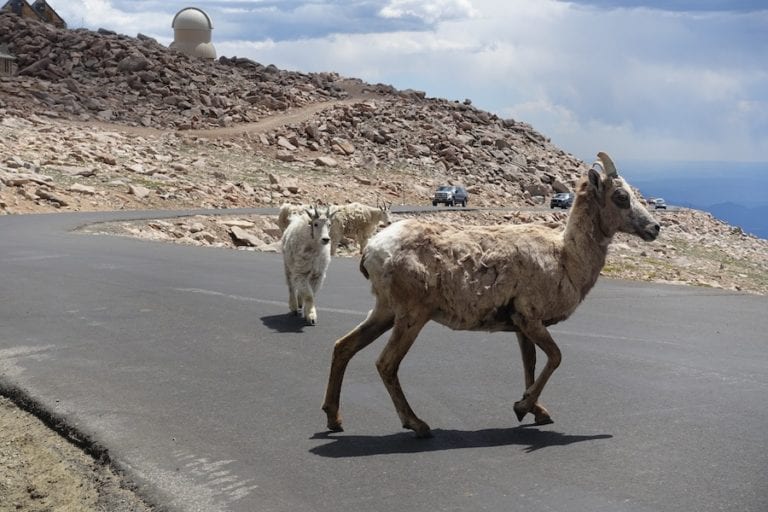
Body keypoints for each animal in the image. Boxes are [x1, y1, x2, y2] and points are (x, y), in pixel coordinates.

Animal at [322, 151, 660, 436]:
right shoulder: (530, 320)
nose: (654, 228)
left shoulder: (522, 327)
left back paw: (334, 419)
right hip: (411, 316)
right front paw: (522, 407)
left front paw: (536, 411)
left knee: (343, 347)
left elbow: (530, 364)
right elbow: (555, 357)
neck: (565, 257)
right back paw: (417, 425)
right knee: (386, 363)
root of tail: (373, 251)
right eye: (621, 197)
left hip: (385, 311)